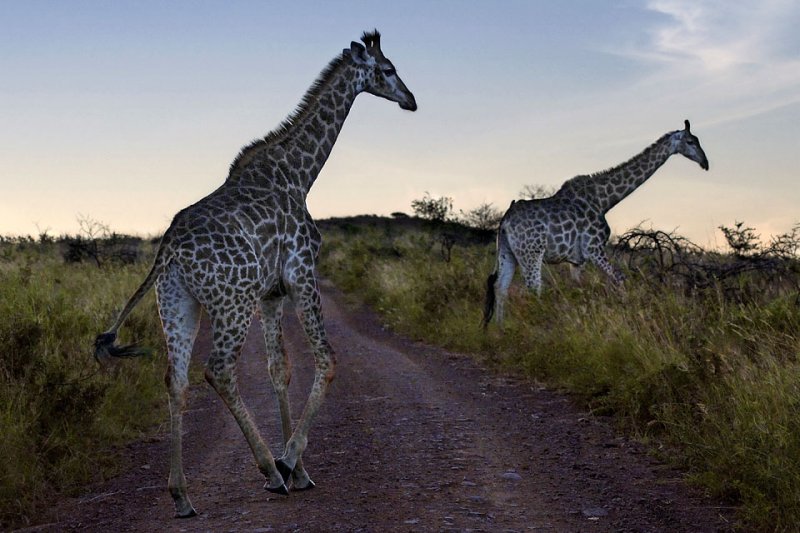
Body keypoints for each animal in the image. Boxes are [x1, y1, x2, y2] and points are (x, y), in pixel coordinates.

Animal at [94, 30, 416, 516]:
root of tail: (167, 252)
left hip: (178, 304)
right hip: (232, 301)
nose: (411, 100)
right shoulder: (301, 272)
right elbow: (326, 360)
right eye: (389, 69)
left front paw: (301, 472)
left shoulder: (271, 293)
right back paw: (268, 469)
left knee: (176, 379)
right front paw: (289, 462)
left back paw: (182, 495)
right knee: (218, 370)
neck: (300, 174)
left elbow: (278, 369)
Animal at [482, 120, 708, 326]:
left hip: (508, 252)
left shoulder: (577, 259)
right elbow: (620, 279)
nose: (705, 163)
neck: (604, 200)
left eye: (697, 140)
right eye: (690, 141)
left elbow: (578, 289)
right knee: (533, 288)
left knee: (500, 287)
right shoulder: (594, 248)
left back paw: (499, 329)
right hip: (531, 253)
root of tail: (505, 220)